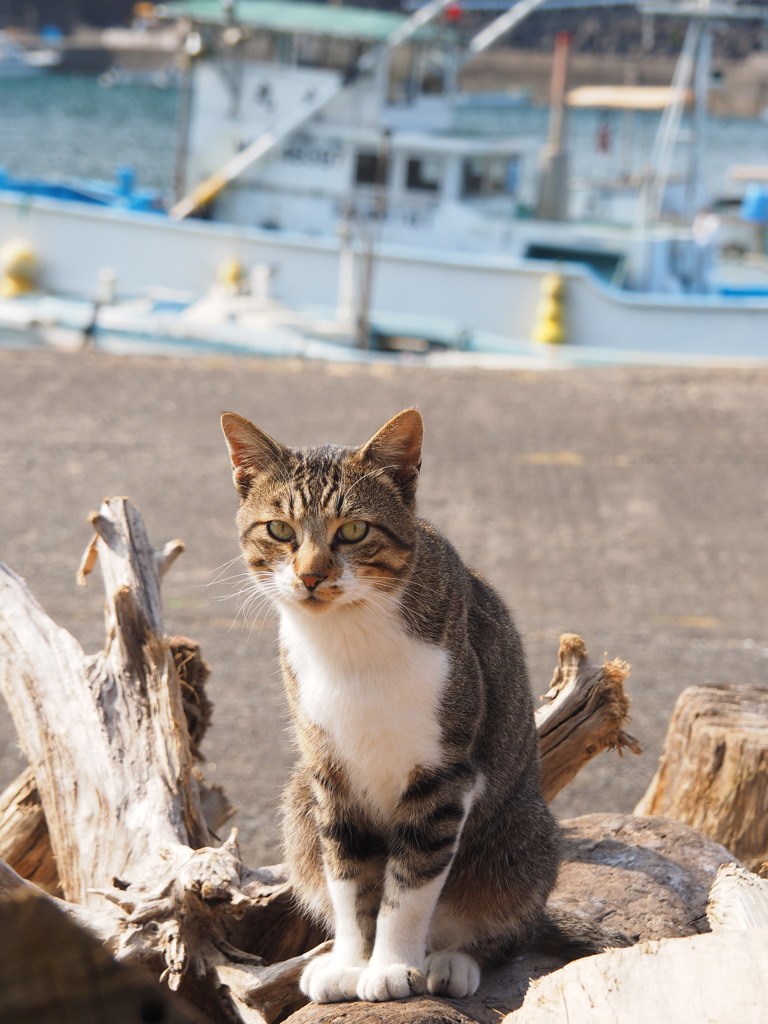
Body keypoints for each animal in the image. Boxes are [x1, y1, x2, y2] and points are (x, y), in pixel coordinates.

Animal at [219, 407, 561, 999]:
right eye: (280, 530)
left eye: (353, 530)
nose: (311, 576)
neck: (348, 640)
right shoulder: (330, 776)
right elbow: (349, 878)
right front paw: (354, 963)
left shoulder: (442, 778)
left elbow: (411, 884)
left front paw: (391, 967)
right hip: (297, 803)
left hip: (523, 833)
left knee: (500, 925)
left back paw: (451, 961)